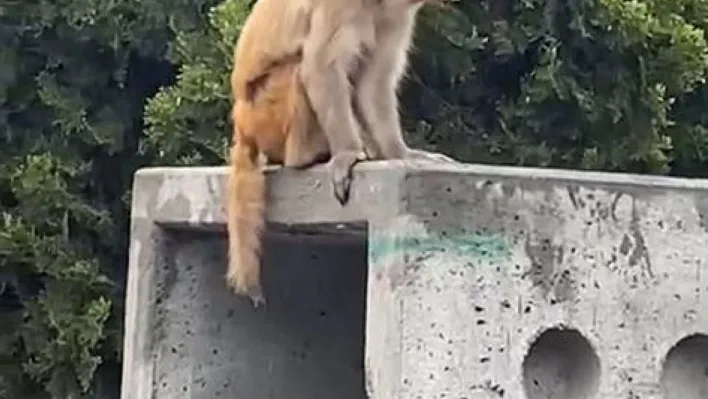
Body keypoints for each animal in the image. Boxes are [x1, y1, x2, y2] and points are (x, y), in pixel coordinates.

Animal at [227, 0, 460, 308]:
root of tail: (242, 123)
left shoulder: (398, 15)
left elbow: (372, 83)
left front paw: (401, 153)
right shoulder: (337, 7)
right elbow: (321, 67)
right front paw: (348, 154)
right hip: (268, 111)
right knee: (299, 69)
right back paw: (307, 155)